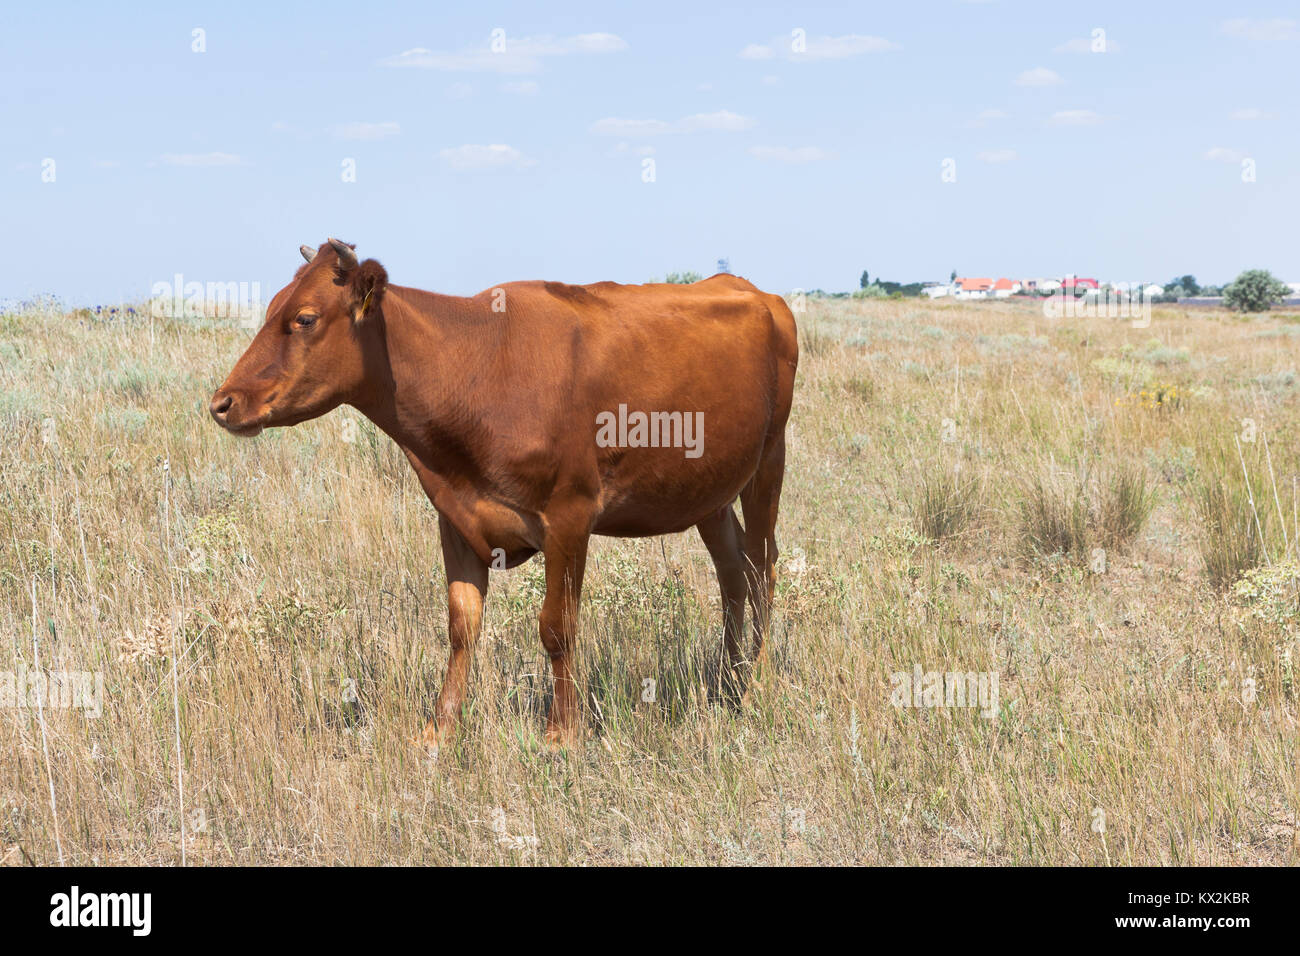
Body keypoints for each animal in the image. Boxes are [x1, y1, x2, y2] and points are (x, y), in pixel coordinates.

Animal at [209, 238, 795, 749]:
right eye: (270, 307)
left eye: (305, 318)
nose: (222, 402)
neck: (478, 369)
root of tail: (751, 289)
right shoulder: (455, 516)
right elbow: (461, 626)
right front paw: (440, 728)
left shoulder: (569, 514)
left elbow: (557, 627)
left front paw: (561, 732)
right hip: (710, 489)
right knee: (731, 572)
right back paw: (726, 681)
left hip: (770, 458)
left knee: (762, 566)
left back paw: (757, 685)